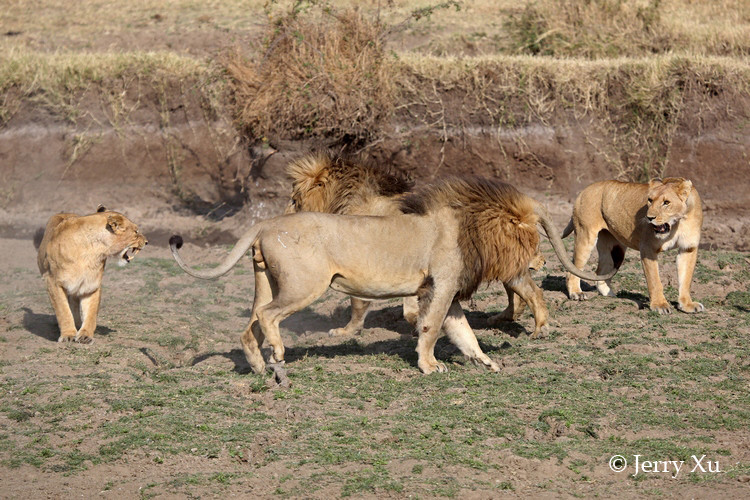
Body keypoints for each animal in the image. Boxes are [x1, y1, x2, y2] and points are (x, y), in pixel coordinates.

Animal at [37, 205, 148, 342]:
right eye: (136, 231)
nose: (147, 242)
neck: (93, 250)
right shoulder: (52, 282)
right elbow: (63, 310)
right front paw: (68, 335)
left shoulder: (91, 284)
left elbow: (91, 313)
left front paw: (85, 335)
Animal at [172, 178, 616, 374]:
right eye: (531, 233)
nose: (540, 263)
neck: (470, 227)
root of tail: (264, 224)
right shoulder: (440, 286)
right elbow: (431, 329)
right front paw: (429, 366)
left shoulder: (445, 292)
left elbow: (462, 333)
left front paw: (485, 361)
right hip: (305, 285)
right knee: (268, 318)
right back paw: (278, 354)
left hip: (267, 284)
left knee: (248, 327)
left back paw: (260, 368)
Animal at [564, 178, 704, 314]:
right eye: (650, 200)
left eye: (666, 202)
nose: (649, 217)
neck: (678, 223)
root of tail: (585, 189)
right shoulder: (648, 248)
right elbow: (655, 281)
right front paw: (660, 305)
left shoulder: (688, 249)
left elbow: (686, 280)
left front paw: (687, 305)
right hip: (585, 235)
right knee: (573, 269)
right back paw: (576, 293)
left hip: (614, 249)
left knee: (600, 271)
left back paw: (610, 295)